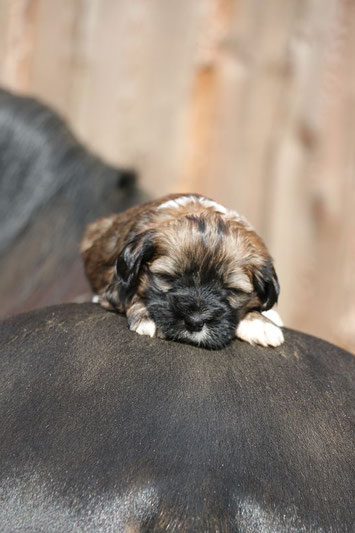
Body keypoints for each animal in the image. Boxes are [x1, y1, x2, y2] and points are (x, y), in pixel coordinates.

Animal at [80, 194, 284, 350]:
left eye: (232, 291)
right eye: (168, 278)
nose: (194, 322)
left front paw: (259, 322)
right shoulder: (115, 285)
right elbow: (130, 295)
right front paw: (146, 315)